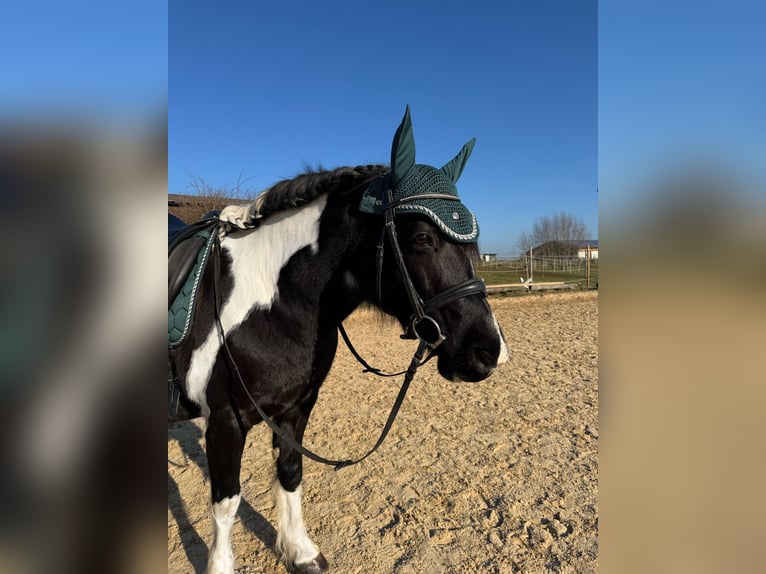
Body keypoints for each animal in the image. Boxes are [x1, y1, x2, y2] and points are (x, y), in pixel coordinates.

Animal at [171, 106, 512, 572]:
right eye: (422, 238)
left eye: (473, 245)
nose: (488, 351)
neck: (274, 298)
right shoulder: (225, 420)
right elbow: (226, 502)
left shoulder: (297, 408)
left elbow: (290, 473)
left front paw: (300, 551)